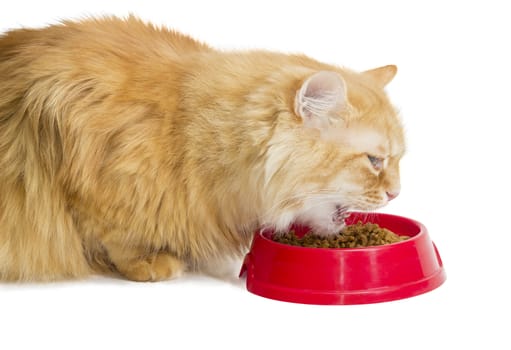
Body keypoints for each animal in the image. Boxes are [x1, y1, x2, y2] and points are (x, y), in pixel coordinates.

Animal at [1, 15, 408, 282]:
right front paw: (151, 262)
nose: (396, 192)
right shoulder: (83, 168)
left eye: (398, 159)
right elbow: (115, 236)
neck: (187, 131)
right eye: (374, 160)